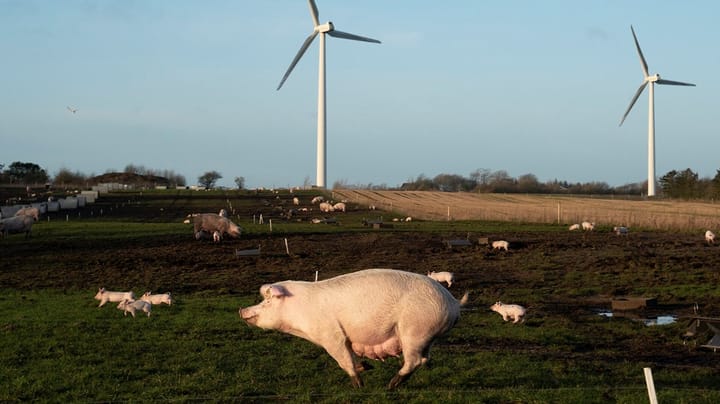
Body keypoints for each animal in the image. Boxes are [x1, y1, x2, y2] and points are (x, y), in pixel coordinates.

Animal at [239, 268, 470, 388]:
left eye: (268, 301)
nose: (242, 310)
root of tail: (454, 303)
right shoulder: (345, 339)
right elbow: (352, 357)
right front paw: (366, 367)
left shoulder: (332, 336)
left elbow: (344, 361)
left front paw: (359, 385)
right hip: (426, 337)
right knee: (424, 359)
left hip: (414, 331)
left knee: (414, 361)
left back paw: (391, 385)